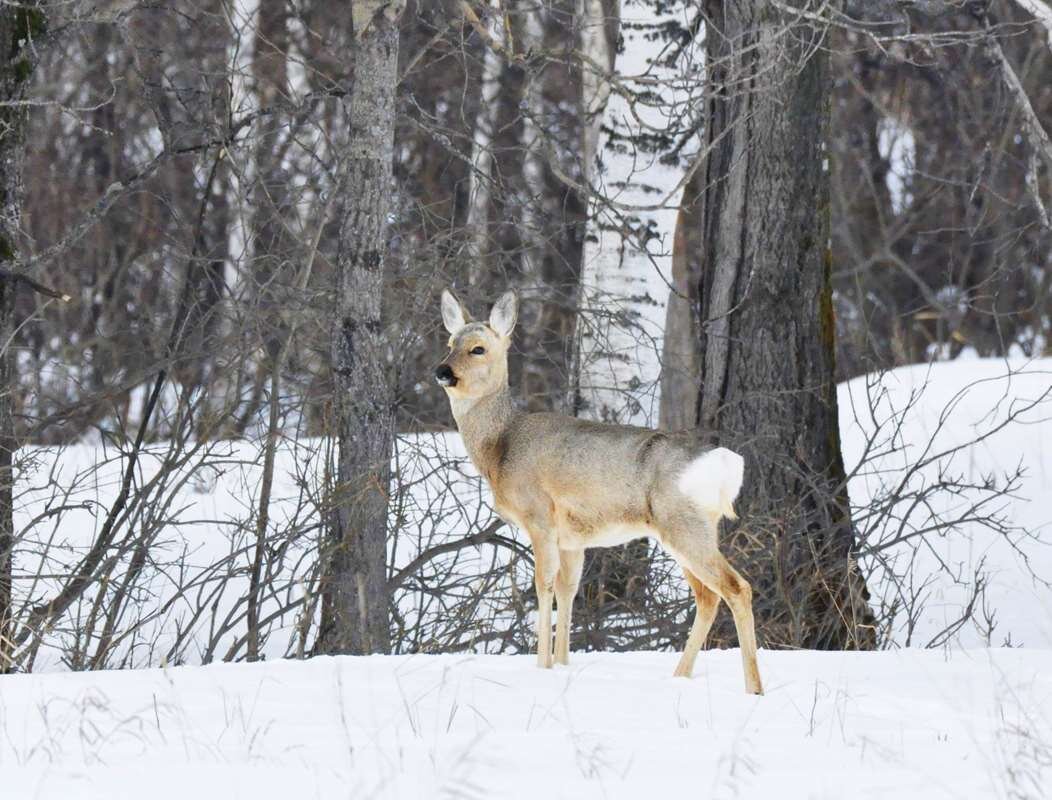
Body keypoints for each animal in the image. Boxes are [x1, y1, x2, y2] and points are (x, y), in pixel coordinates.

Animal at [435, 288, 765, 694]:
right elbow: (568, 590)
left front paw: (541, 666)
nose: (442, 371)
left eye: (478, 348)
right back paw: (679, 677)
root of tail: (724, 463)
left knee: (737, 588)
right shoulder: (572, 538)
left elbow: (543, 585)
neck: (500, 446)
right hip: (688, 529)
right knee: (707, 597)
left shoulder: (539, 516)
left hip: (683, 525)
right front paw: (561, 664)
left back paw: (753, 688)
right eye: (450, 343)